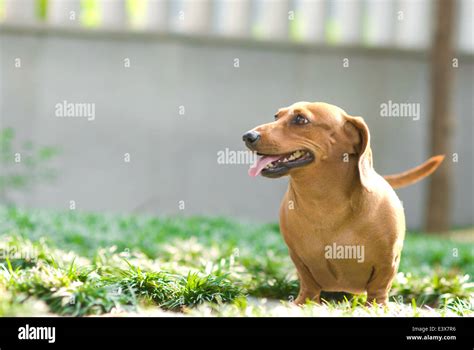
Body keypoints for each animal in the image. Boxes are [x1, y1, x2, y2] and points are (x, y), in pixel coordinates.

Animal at [244, 100, 444, 304]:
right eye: (276, 116)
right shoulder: (298, 258)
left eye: (300, 119)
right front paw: (303, 302)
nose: (248, 136)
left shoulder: (388, 261)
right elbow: (308, 282)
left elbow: (379, 287)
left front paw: (376, 305)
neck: (325, 204)